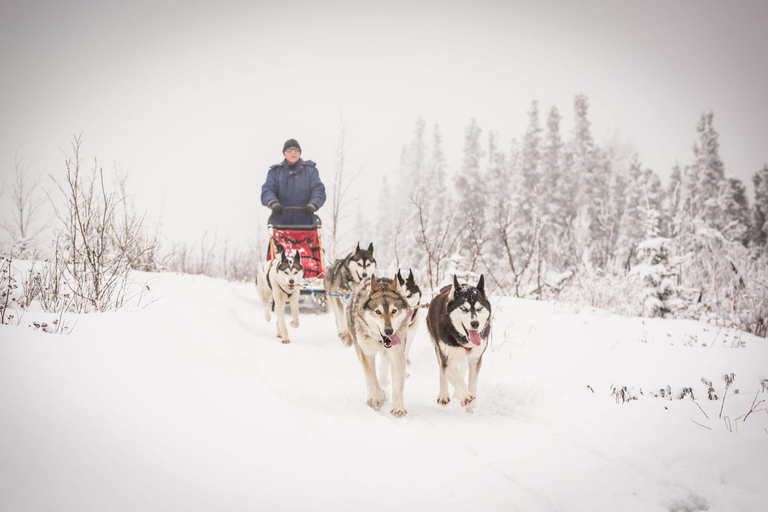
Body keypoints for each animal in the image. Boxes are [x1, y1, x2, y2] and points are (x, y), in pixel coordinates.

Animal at [344, 276, 412, 416]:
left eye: (394, 311)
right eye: (378, 311)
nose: (389, 331)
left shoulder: (397, 354)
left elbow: (398, 383)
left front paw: (398, 407)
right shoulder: (366, 354)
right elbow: (371, 379)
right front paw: (379, 397)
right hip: (359, 350)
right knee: (368, 378)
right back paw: (372, 397)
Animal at [426, 274, 492, 414]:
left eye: (479, 308)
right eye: (463, 308)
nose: (475, 323)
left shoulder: (476, 358)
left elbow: (472, 384)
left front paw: (470, 408)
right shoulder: (446, 356)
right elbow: (455, 378)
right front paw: (466, 396)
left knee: (461, 368)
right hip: (439, 349)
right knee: (443, 372)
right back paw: (444, 395)